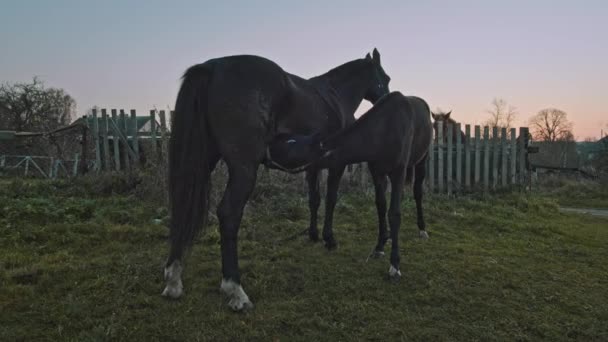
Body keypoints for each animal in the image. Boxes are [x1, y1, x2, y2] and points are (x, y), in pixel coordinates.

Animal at [163, 50, 390, 310]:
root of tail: (211, 67)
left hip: (203, 160)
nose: (387, 100)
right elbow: (331, 199)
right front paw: (329, 239)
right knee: (229, 214)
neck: (335, 96)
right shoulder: (336, 165)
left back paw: (173, 280)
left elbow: (314, 200)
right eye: (385, 77)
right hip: (243, 169)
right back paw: (235, 290)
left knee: (182, 204)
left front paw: (313, 235)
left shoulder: (313, 166)